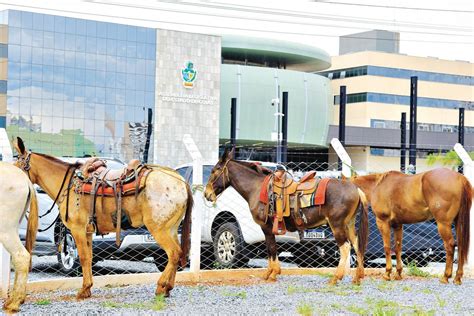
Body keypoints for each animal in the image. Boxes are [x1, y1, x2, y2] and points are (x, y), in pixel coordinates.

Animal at [14, 138, 193, 298]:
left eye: (18, 166)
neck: (69, 185)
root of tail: (181, 182)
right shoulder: (87, 231)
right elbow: (89, 257)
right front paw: (87, 289)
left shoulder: (78, 229)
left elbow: (83, 257)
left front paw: (83, 290)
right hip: (171, 229)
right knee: (177, 253)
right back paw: (168, 288)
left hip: (158, 229)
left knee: (173, 253)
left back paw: (162, 286)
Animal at [202, 149, 368, 286]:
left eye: (214, 170)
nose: (207, 194)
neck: (257, 188)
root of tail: (355, 189)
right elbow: (272, 249)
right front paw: (271, 273)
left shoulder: (266, 227)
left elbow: (271, 248)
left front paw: (272, 274)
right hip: (349, 224)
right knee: (356, 244)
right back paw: (357, 277)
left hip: (337, 225)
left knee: (345, 247)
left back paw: (336, 278)